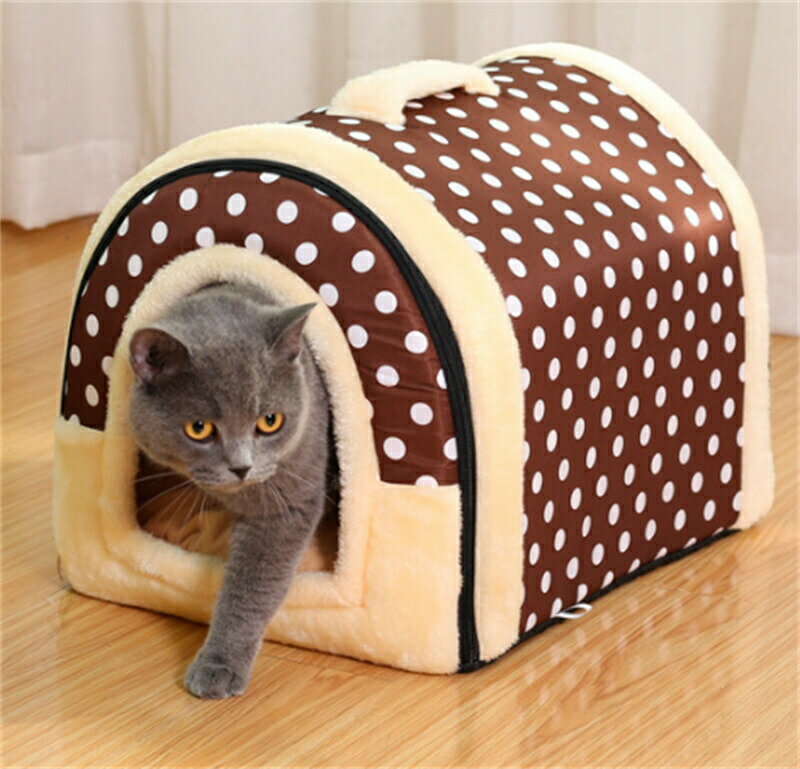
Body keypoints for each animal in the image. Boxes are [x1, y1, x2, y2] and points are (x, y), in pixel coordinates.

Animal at [128, 281, 330, 699]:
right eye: (199, 428)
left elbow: (251, 587)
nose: (241, 467)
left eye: (270, 421)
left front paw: (218, 666)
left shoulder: (286, 505)